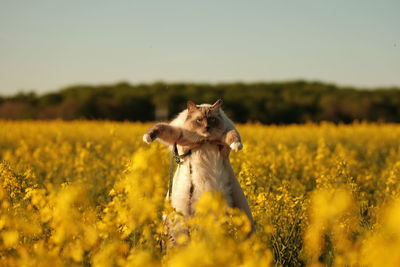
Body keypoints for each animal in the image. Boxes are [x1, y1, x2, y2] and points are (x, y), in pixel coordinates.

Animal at [143, 99, 253, 231]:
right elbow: (159, 127)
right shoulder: (177, 134)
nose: (207, 127)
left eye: (212, 119)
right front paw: (147, 137)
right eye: (199, 120)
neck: (204, 140)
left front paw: (237, 146)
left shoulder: (224, 134)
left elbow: (233, 135)